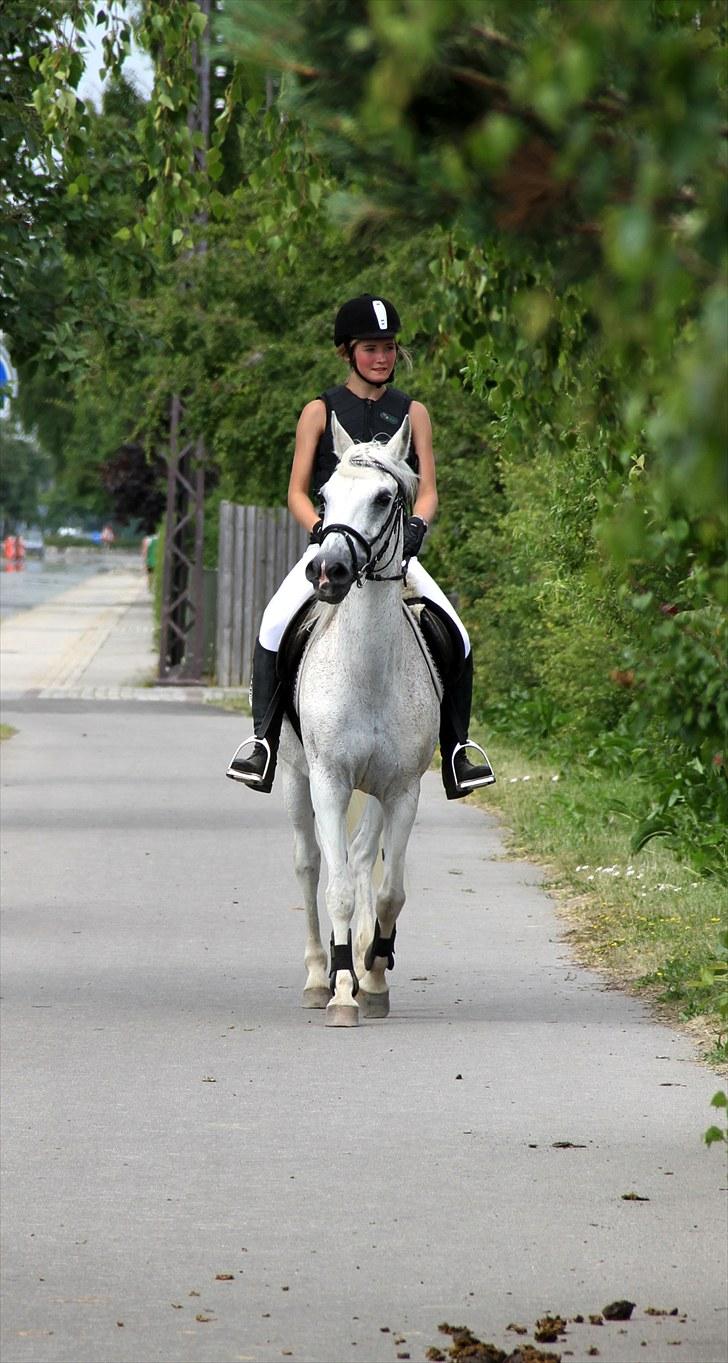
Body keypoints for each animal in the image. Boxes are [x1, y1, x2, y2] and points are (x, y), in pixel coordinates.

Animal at [279, 408, 438, 1024]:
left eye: (383, 497)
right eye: (323, 495)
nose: (328, 572)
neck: (368, 671)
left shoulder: (401, 789)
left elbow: (389, 889)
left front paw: (372, 973)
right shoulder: (328, 779)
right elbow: (339, 885)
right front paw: (343, 989)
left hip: (371, 791)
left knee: (364, 856)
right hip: (296, 778)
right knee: (310, 865)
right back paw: (317, 977)